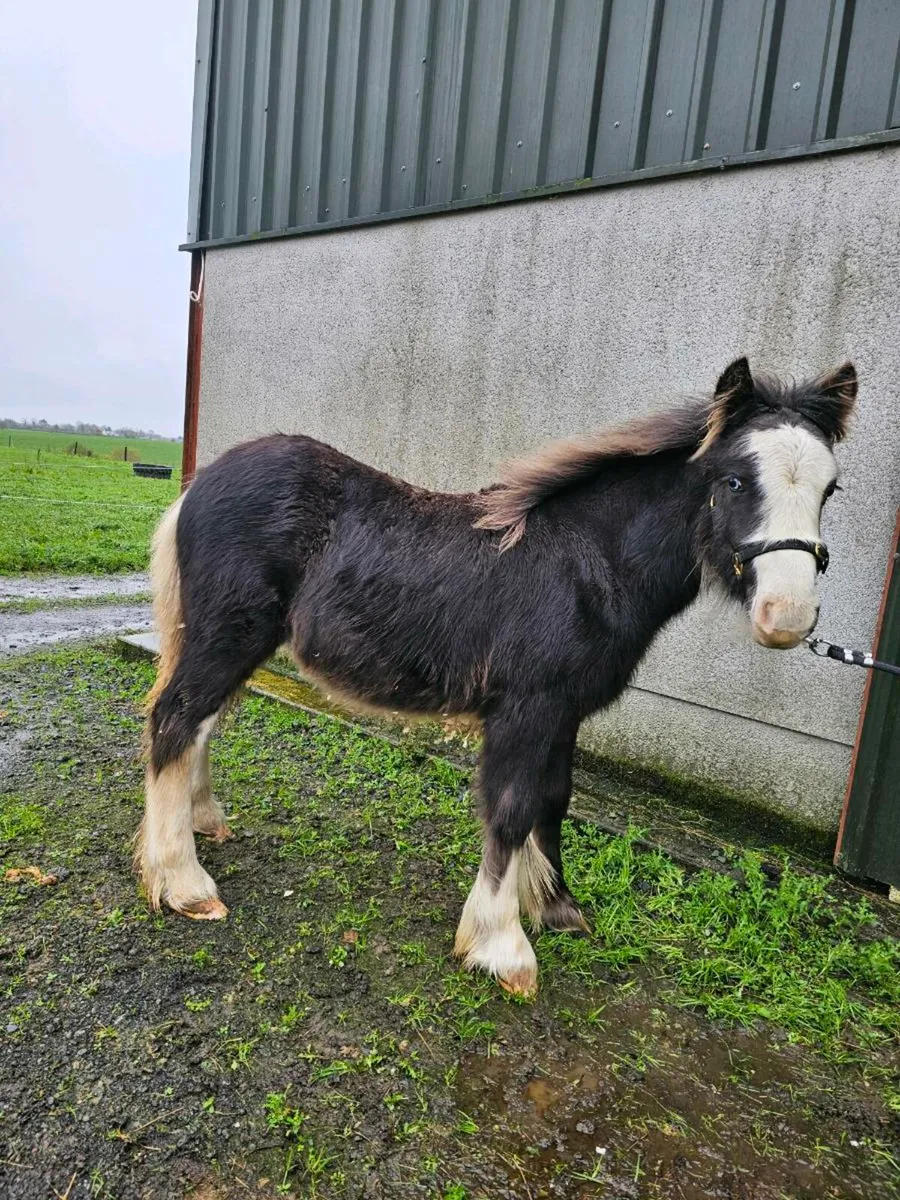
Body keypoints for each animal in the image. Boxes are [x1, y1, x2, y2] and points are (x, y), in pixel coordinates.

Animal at [137, 357, 856, 996]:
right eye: (734, 480)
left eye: (830, 488)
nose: (787, 615)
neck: (586, 563)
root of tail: (199, 483)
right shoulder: (524, 708)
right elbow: (510, 811)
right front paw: (502, 947)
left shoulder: (564, 711)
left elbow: (553, 801)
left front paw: (557, 907)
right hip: (229, 634)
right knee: (176, 718)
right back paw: (184, 884)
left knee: (201, 723)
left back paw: (203, 823)